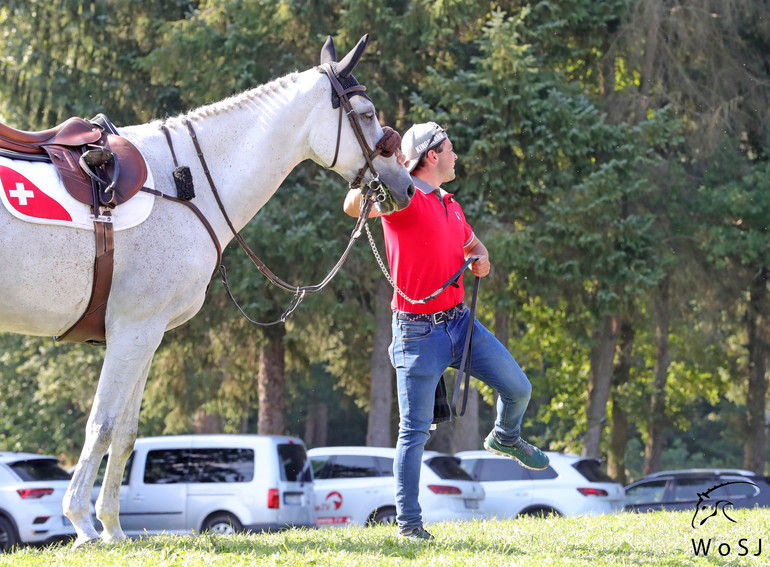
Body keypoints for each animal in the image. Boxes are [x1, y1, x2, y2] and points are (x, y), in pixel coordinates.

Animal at [0, 34, 414, 544]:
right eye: (367, 112)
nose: (404, 184)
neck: (182, 183)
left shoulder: (143, 334)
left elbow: (126, 433)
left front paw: (112, 527)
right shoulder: (133, 328)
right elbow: (103, 424)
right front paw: (82, 521)